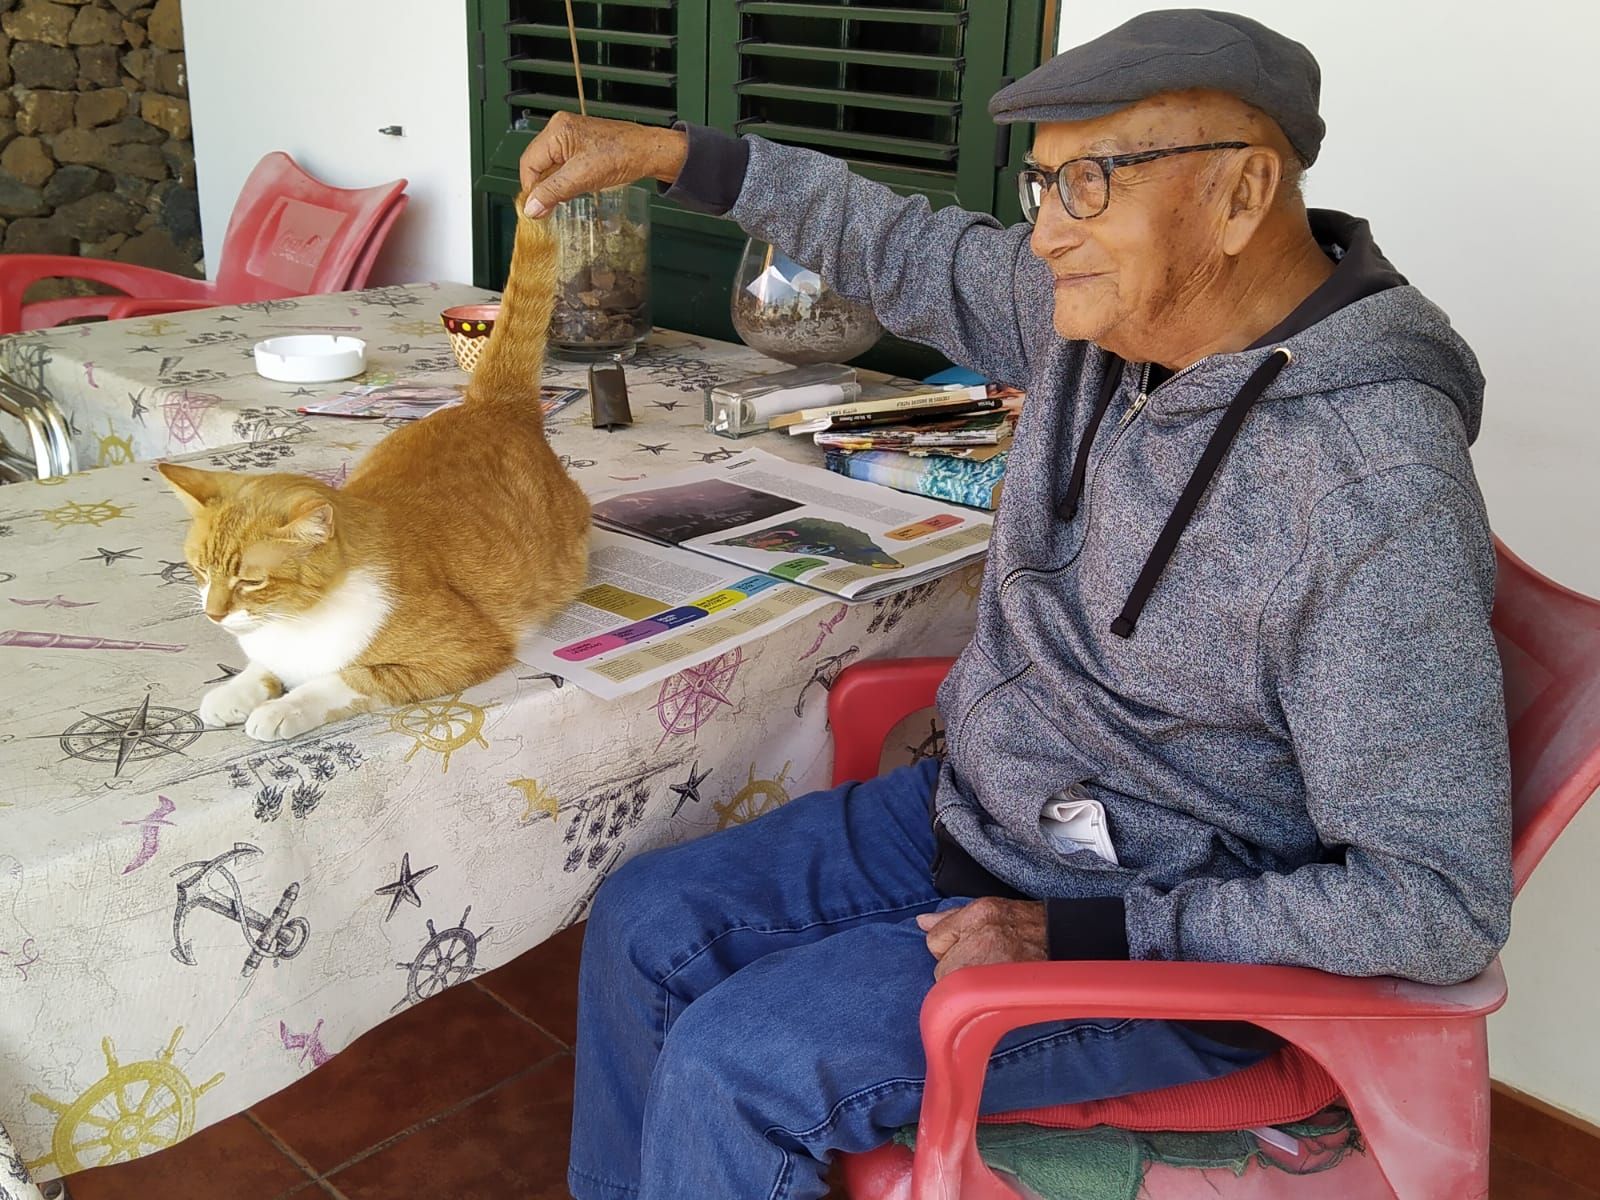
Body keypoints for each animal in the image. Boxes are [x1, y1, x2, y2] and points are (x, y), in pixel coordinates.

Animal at [156, 197, 592, 742]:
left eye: (250, 582)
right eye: (198, 570)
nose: (214, 615)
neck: (295, 624)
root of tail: (488, 403)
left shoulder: (457, 654)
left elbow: (343, 680)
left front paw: (281, 709)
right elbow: (263, 668)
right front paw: (235, 692)